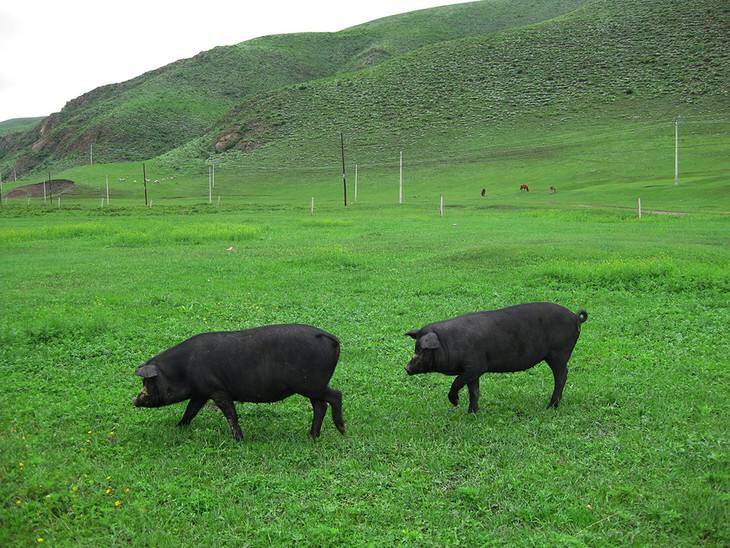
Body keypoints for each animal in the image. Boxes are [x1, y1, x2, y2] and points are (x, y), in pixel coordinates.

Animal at [132, 326, 344, 440]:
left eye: (149, 382)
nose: (134, 401)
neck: (181, 370)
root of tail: (331, 337)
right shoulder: (201, 392)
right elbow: (190, 411)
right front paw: (178, 427)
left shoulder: (217, 389)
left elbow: (230, 414)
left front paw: (239, 440)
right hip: (311, 387)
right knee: (320, 405)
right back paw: (312, 436)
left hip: (311, 384)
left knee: (336, 395)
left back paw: (341, 430)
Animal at [404, 302, 584, 414]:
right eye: (416, 347)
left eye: (422, 350)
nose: (406, 368)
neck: (447, 343)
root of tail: (575, 317)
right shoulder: (473, 372)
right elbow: (474, 392)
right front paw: (472, 413)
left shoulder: (475, 366)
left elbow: (457, 382)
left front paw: (455, 403)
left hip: (559, 353)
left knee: (562, 376)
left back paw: (550, 407)